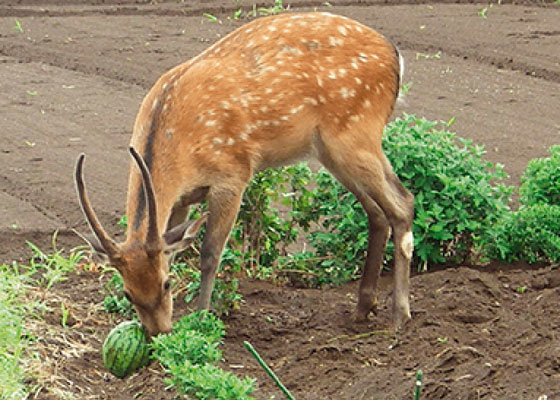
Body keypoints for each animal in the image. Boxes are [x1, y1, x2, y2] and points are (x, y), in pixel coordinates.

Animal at [74, 12, 414, 336]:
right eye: (128, 293)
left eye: (166, 284)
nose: (158, 332)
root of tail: (395, 56)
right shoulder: (181, 199)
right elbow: (176, 248)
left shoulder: (232, 174)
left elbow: (210, 253)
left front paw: (202, 319)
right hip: (332, 151)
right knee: (377, 211)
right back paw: (363, 308)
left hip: (356, 133)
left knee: (403, 202)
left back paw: (400, 316)